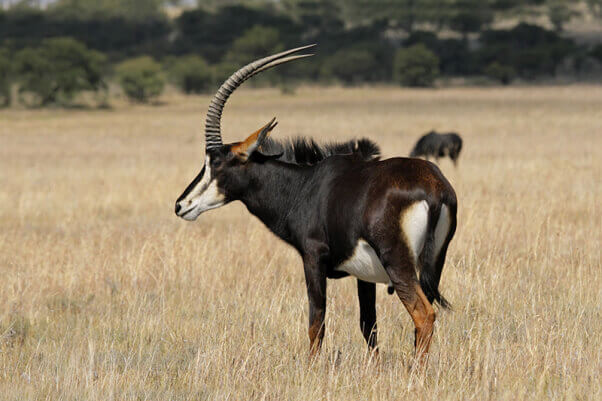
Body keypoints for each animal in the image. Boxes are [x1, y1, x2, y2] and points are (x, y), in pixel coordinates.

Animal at [173, 44, 454, 362]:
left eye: (216, 162)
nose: (182, 205)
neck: (304, 186)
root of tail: (434, 189)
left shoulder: (313, 258)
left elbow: (316, 322)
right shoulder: (365, 276)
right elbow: (368, 325)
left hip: (398, 263)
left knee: (424, 315)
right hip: (432, 265)